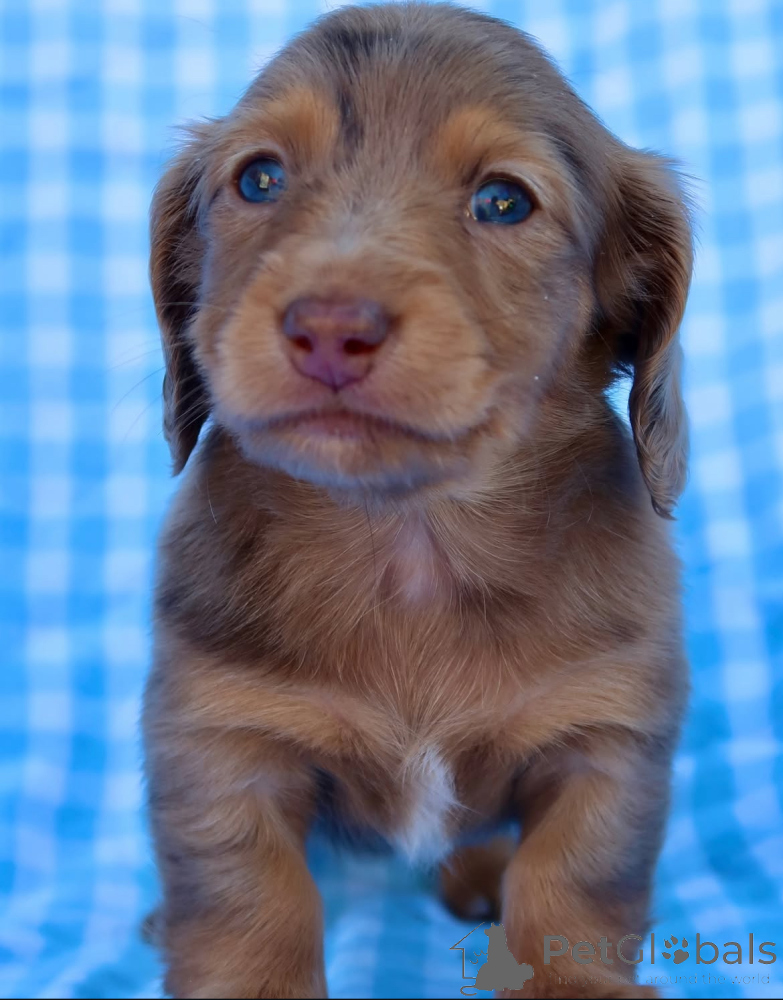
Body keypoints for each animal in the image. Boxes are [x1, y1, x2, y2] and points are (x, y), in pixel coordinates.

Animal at [143, 3, 692, 997]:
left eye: (504, 201)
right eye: (260, 178)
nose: (329, 327)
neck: (409, 536)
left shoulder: (605, 737)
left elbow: (571, 883)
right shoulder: (218, 739)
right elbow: (247, 899)